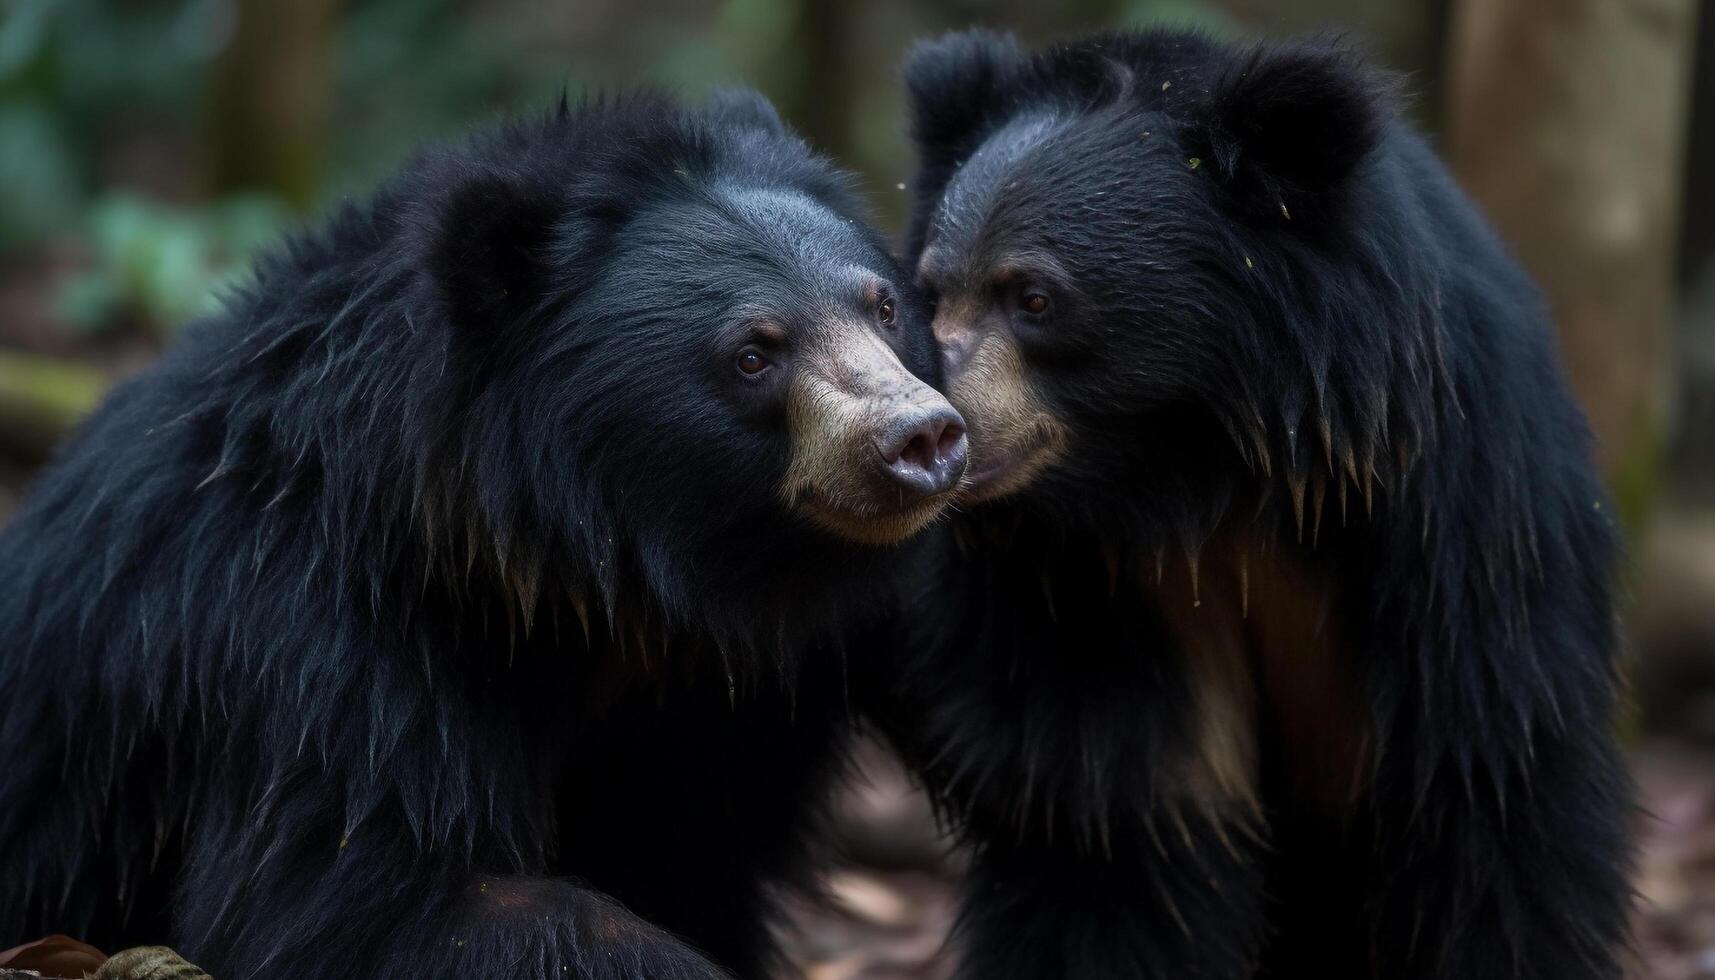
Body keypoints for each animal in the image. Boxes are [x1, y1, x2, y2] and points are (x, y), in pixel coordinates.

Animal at [871, 28, 1632, 980]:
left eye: (1035, 297)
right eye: (933, 294)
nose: (940, 435)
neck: (1200, 468)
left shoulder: (1452, 523)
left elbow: (1483, 788)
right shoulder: (1078, 587)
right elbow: (1116, 820)